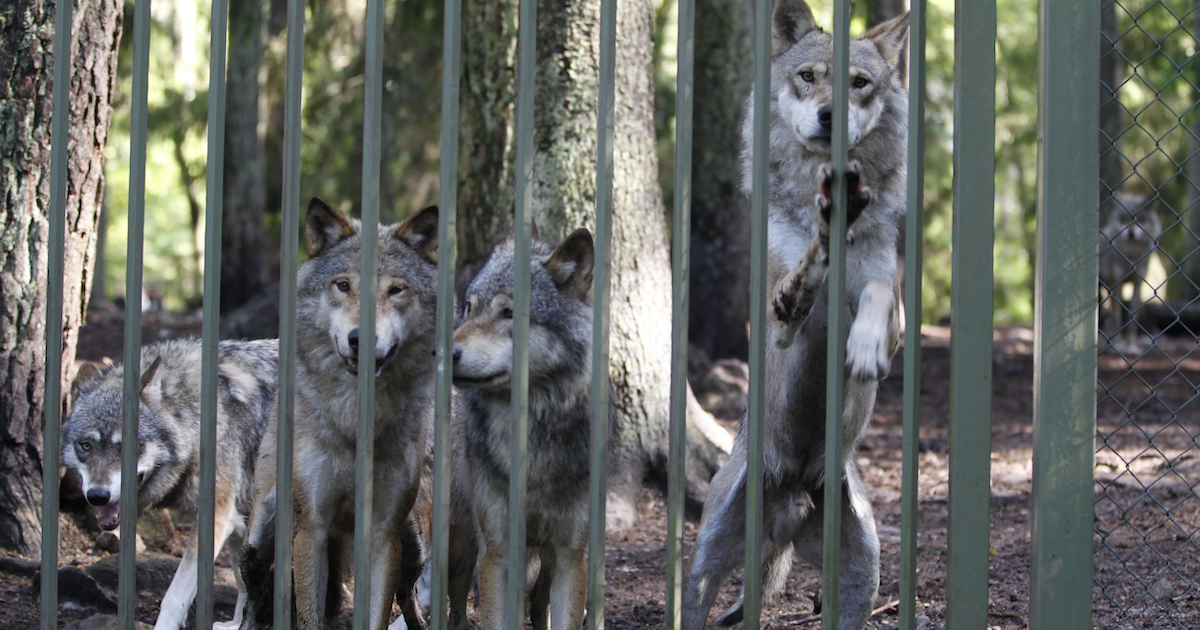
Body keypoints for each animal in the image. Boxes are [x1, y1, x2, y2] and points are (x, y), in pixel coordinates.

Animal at [62, 338, 276, 628]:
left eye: (127, 446)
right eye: (85, 445)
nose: (97, 495)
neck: (194, 414)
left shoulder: (217, 515)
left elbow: (176, 594)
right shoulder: (239, 516)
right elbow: (244, 579)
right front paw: (238, 624)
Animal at [226, 199, 439, 628]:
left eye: (395, 290)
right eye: (343, 286)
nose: (361, 338)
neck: (355, 420)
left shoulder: (383, 535)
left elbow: (375, 613)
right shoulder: (313, 529)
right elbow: (307, 614)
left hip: (414, 543)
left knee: (406, 595)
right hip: (259, 539)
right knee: (255, 600)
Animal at [681, 1, 902, 628]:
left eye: (860, 83)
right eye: (808, 76)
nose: (830, 115)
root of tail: (792, 499)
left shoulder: (893, 303)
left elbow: (876, 299)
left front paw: (863, 349)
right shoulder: (779, 326)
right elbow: (799, 283)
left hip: (863, 575)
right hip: (704, 566)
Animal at [1099, 193, 1156, 348]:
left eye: (1139, 219)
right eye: (1123, 219)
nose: (1131, 234)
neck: (1131, 257)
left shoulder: (1138, 283)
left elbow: (1133, 318)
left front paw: (1131, 346)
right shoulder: (1117, 283)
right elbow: (1118, 316)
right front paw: (1119, 344)